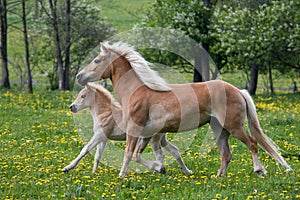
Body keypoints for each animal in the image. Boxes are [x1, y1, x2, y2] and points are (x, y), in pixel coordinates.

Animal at [62, 82, 192, 173]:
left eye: (83, 96)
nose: (71, 107)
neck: (106, 113)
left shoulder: (99, 135)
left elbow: (85, 149)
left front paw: (67, 168)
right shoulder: (103, 138)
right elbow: (98, 155)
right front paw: (94, 173)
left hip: (153, 139)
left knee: (161, 154)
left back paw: (159, 169)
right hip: (161, 138)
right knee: (174, 150)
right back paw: (186, 171)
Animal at [76, 41, 292, 177]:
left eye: (97, 60)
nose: (79, 76)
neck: (136, 91)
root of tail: (238, 90)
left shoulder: (134, 129)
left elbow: (130, 153)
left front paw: (123, 175)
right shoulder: (148, 134)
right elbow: (139, 155)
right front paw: (160, 168)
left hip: (233, 125)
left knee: (253, 143)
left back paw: (259, 170)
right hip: (219, 129)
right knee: (226, 153)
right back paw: (218, 177)